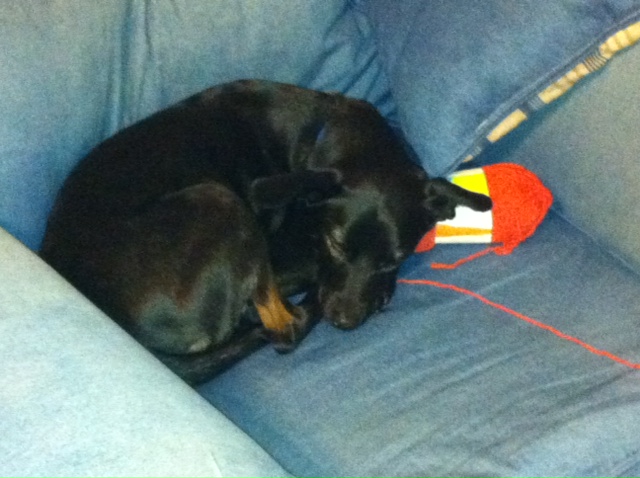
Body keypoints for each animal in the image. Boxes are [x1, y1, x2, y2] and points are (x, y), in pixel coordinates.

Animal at [40, 80, 491, 385]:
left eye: (394, 259)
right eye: (334, 244)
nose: (344, 321)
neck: (321, 133)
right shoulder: (283, 250)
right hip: (219, 199)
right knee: (283, 329)